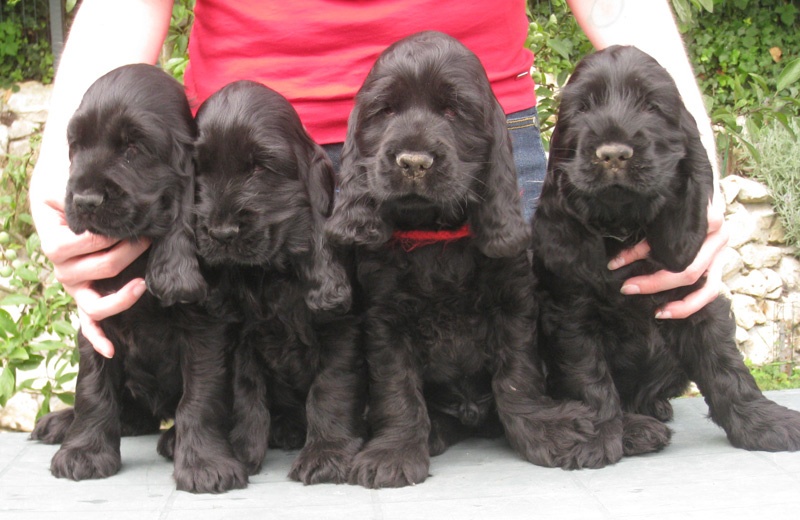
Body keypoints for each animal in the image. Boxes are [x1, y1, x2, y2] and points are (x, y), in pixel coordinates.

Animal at [30, 64, 250, 492]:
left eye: (133, 148)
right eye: (76, 146)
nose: (83, 201)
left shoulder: (206, 331)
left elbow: (200, 397)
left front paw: (205, 463)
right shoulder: (96, 321)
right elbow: (92, 388)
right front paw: (84, 452)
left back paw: (172, 438)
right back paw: (61, 422)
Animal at [194, 79, 366, 486]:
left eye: (259, 168)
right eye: (201, 169)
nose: (220, 234)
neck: (274, 272)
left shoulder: (342, 327)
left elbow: (329, 387)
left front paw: (325, 454)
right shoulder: (243, 335)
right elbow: (247, 392)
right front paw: (242, 451)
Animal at [324, 31, 608, 488]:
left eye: (452, 111)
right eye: (386, 111)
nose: (414, 162)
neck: (434, 234)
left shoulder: (513, 303)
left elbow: (517, 377)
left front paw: (545, 430)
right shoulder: (385, 320)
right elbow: (396, 388)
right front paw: (394, 451)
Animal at [532, 43, 800, 460]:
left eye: (651, 106)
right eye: (583, 108)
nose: (612, 154)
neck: (624, 228)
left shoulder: (696, 299)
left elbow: (726, 366)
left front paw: (764, 421)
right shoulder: (570, 314)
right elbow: (589, 375)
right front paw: (602, 434)